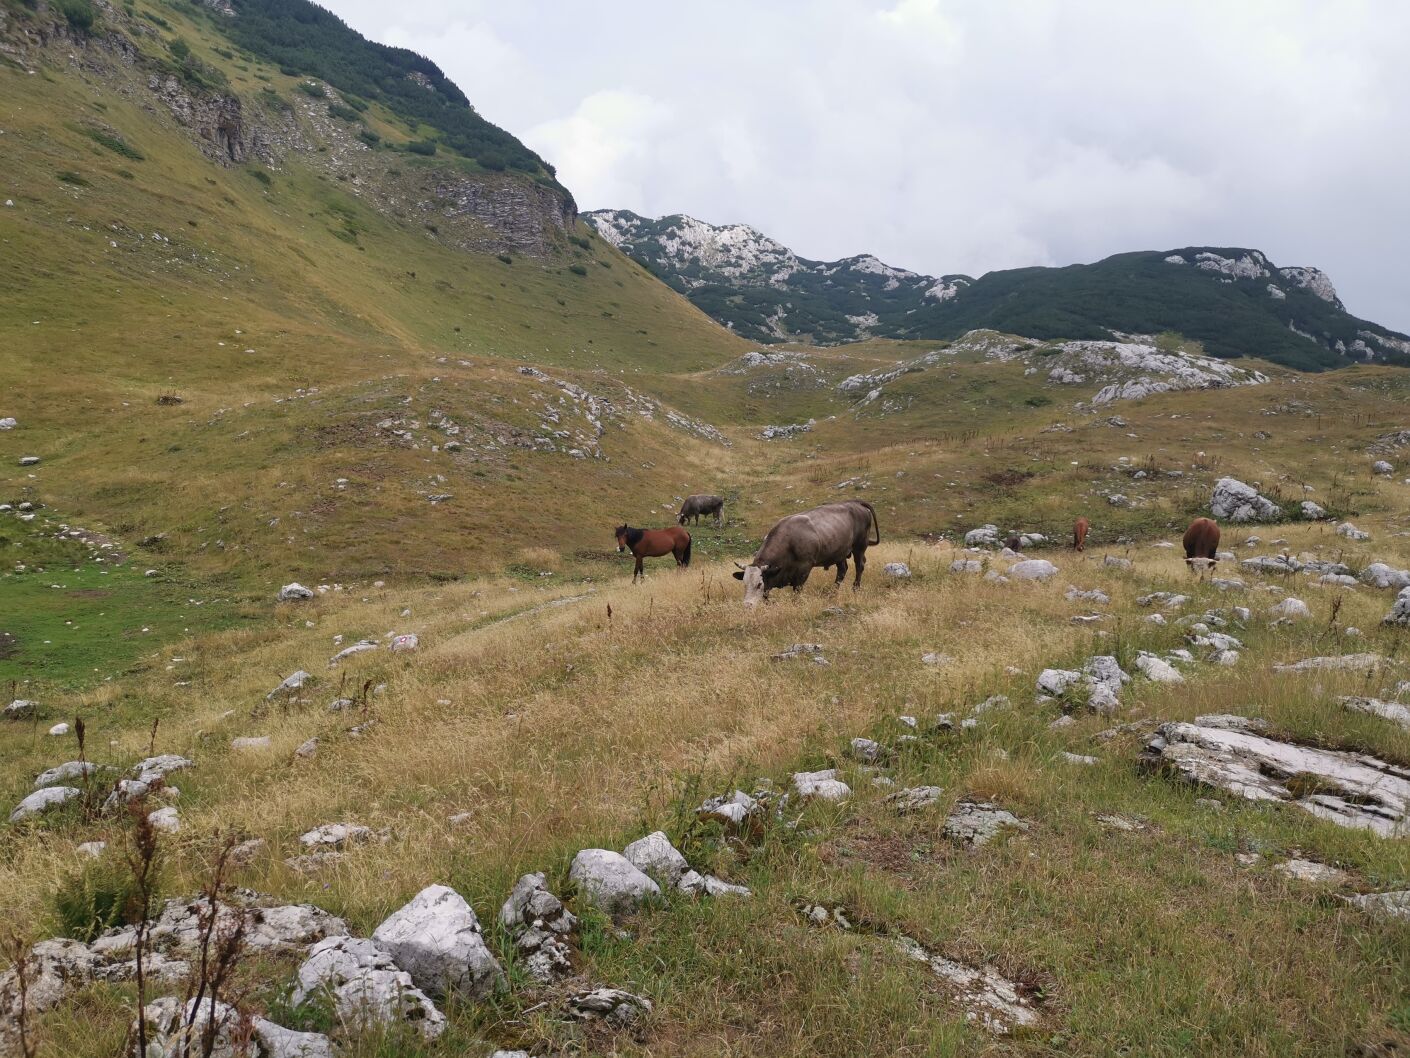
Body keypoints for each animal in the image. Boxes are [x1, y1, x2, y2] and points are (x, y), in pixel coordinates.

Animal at [733, 502, 874, 609]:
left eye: (759, 584)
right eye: (744, 584)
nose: (747, 605)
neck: (789, 541)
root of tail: (856, 504)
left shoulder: (804, 569)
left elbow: (797, 590)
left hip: (860, 547)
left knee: (859, 566)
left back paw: (855, 589)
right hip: (840, 553)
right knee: (842, 570)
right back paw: (832, 593)